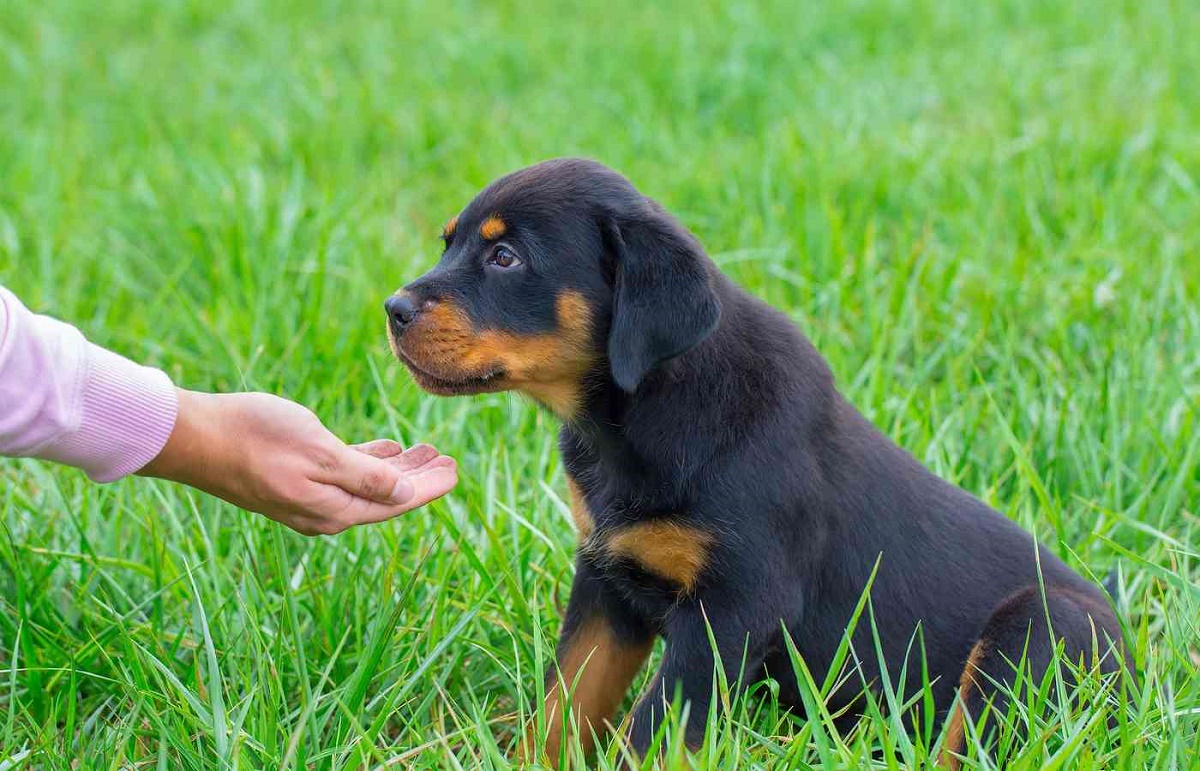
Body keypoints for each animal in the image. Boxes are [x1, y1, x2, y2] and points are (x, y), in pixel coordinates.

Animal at [386, 156, 1132, 763]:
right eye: (450, 242)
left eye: (505, 257)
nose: (392, 308)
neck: (636, 414)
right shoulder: (608, 580)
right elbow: (565, 699)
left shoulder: (733, 606)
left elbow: (651, 731)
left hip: (1041, 630)